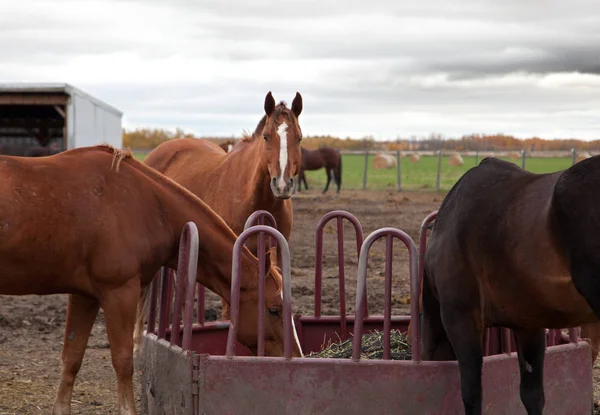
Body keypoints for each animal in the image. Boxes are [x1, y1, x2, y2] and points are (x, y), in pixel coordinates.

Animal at [0, 144, 300, 415]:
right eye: (274, 309)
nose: (297, 357)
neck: (146, 204)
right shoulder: (119, 293)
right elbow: (123, 361)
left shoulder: (84, 296)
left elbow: (71, 358)